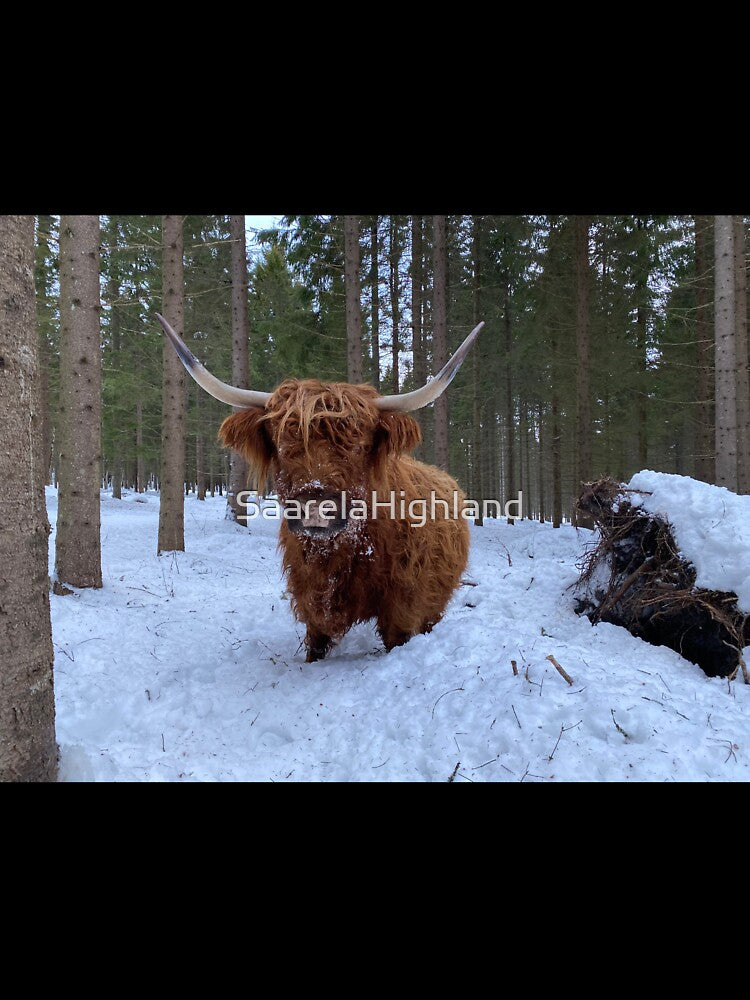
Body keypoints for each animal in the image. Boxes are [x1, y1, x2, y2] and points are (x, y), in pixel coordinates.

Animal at [156, 313, 484, 662]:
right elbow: (315, 644)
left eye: (359, 445)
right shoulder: (310, 599)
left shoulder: (404, 608)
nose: (315, 505)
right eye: (282, 445)